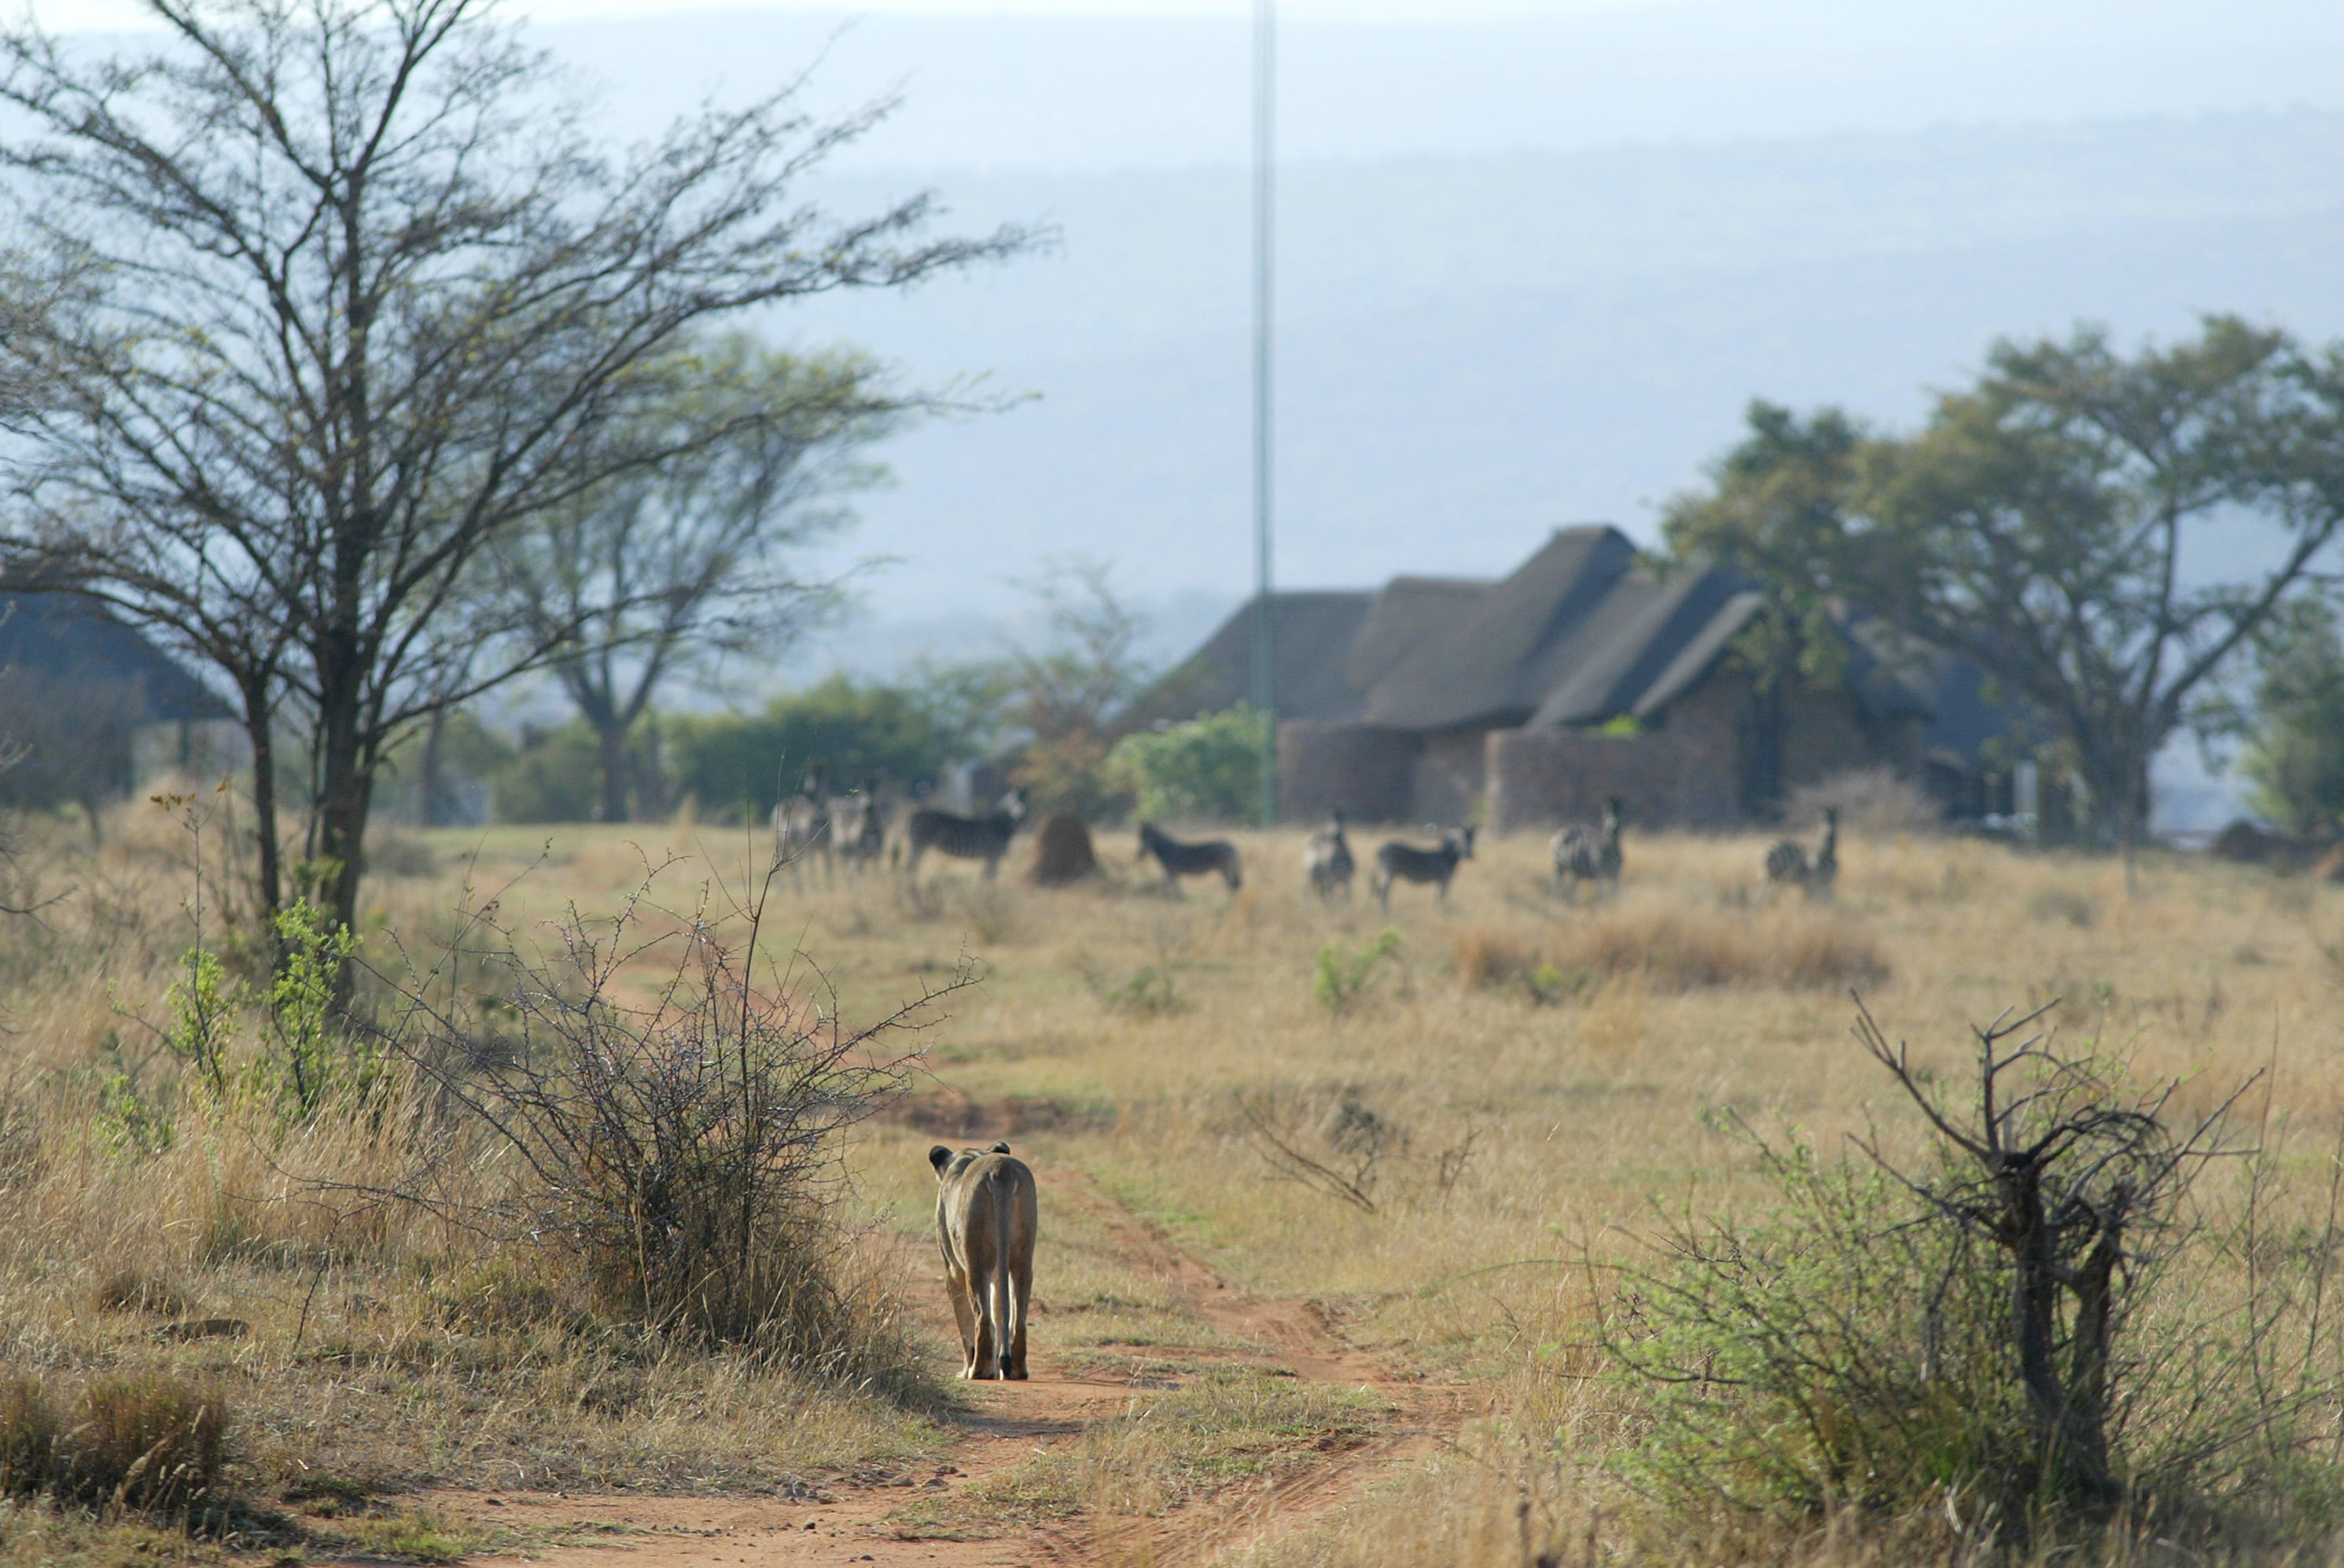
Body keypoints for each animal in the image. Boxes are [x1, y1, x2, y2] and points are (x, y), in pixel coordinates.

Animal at [900, 782, 1031, 881]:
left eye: (1026, 802)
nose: (1022, 817)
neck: (1002, 826)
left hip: (919, 845)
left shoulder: (991, 858)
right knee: (909, 868)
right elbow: (988, 880)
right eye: (1014, 803)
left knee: (910, 868)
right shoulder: (993, 857)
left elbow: (986, 879)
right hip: (918, 843)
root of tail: (913, 814)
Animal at [1134, 820, 1246, 890]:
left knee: (1232, 888)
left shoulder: (1170, 873)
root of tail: (1232, 846)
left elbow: (1169, 891)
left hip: (1225, 870)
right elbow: (1174, 891)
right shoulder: (1172, 874)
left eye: (1149, 837)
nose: (1140, 855)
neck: (1166, 850)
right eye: (1140, 837)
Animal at [1368, 825, 1472, 909]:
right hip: (1389, 873)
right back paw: (1386, 914)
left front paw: (1437, 909)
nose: (1470, 855)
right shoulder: (1445, 879)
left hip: (1386, 872)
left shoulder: (1440, 880)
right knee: (1384, 893)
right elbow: (1442, 896)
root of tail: (1380, 849)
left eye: (1471, 839)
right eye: (1459, 841)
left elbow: (1437, 896)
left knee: (1382, 892)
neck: (1447, 856)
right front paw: (1442, 910)